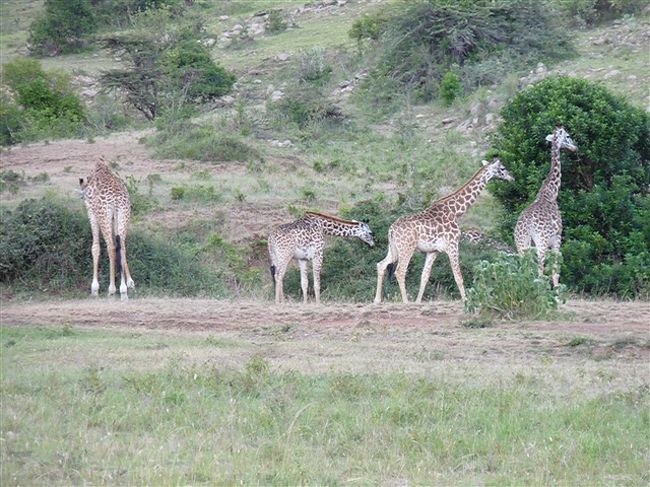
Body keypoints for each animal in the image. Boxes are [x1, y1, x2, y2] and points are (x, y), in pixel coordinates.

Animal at [79, 158, 134, 302]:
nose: (81, 197)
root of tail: (116, 199)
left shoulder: (92, 213)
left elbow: (95, 247)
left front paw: (94, 288)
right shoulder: (115, 219)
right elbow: (120, 247)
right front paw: (130, 282)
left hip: (104, 216)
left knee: (111, 247)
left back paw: (113, 289)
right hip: (123, 215)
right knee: (122, 246)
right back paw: (124, 290)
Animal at [372, 158, 512, 304]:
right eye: (502, 168)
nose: (511, 177)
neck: (456, 212)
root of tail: (391, 230)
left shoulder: (433, 251)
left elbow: (425, 276)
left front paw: (418, 302)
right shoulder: (453, 245)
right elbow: (458, 276)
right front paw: (466, 301)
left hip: (394, 248)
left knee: (381, 265)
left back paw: (377, 300)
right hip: (407, 248)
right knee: (400, 271)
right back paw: (405, 302)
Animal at [512, 124, 576, 288]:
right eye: (568, 136)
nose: (575, 147)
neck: (550, 193)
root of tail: (527, 226)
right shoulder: (557, 237)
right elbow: (555, 270)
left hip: (522, 244)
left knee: (526, 270)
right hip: (541, 242)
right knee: (540, 271)